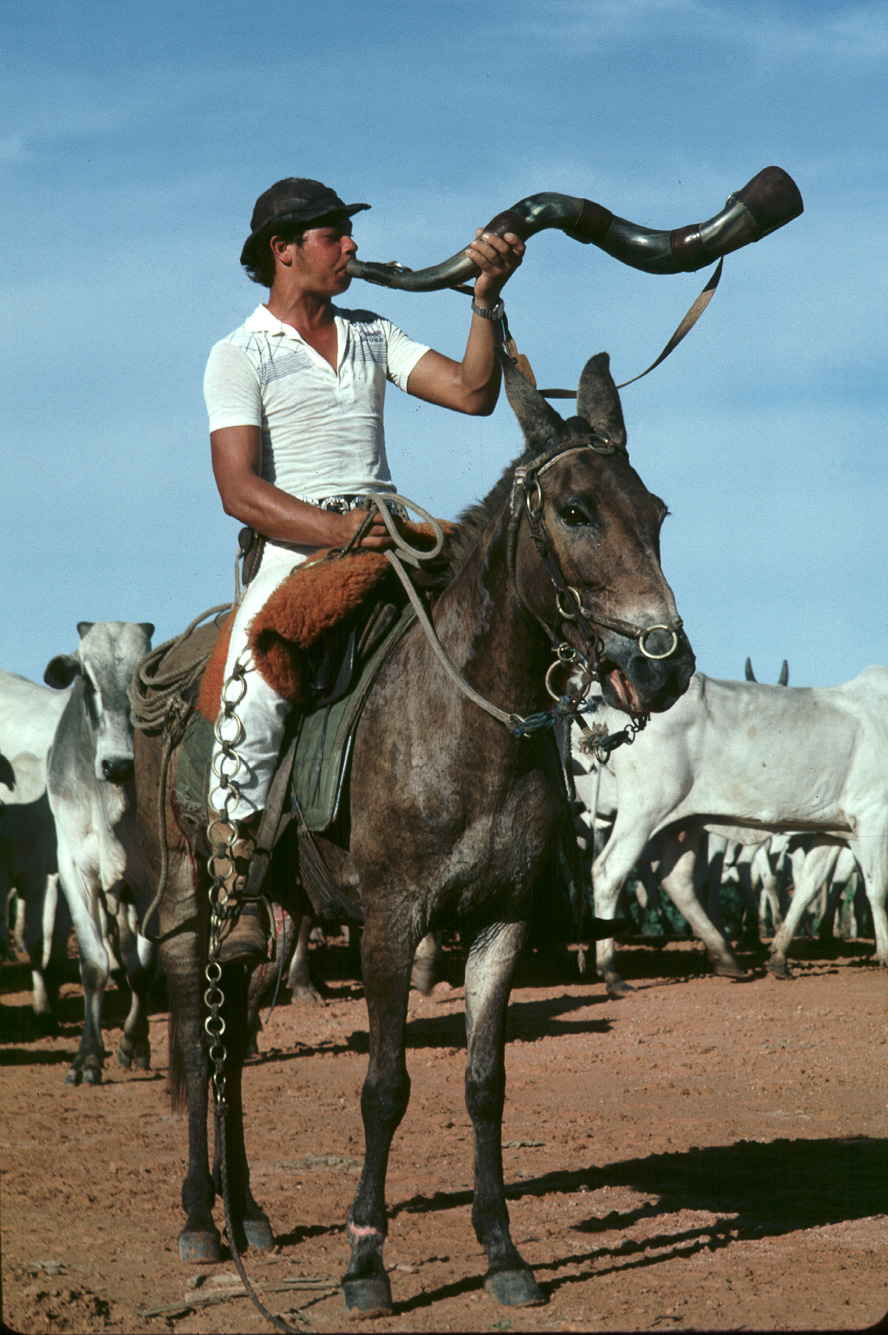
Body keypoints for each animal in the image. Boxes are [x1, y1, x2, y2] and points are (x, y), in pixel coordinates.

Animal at [574, 667, 886, 993]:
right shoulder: (873, 814)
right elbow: (877, 889)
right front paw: (884, 954)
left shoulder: (831, 831)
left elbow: (808, 887)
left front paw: (779, 957)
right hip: (644, 809)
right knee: (609, 872)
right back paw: (610, 971)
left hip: (682, 822)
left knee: (676, 880)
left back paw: (725, 957)